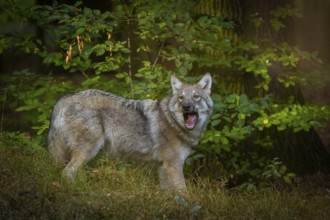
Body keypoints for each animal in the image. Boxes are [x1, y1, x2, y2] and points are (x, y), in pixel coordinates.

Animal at [47, 73, 214, 189]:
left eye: (196, 97)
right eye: (181, 98)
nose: (186, 106)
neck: (172, 121)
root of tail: (65, 98)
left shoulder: (163, 167)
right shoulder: (173, 166)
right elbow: (183, 192)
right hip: (88, 151)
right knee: (66, 173)